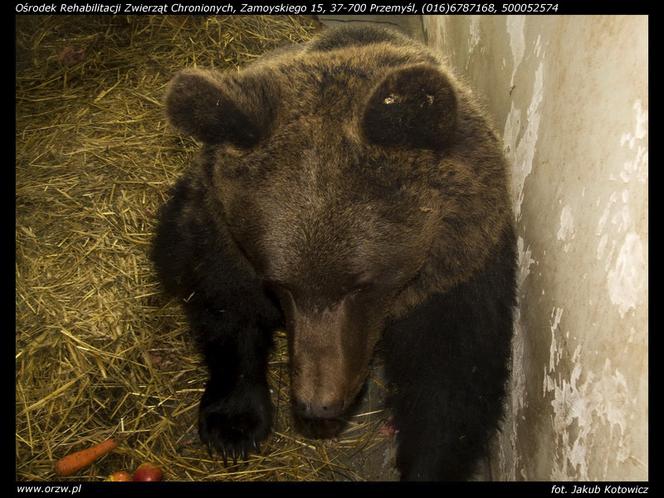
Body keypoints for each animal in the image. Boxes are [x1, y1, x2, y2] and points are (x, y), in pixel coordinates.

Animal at [153, 25, 516, 480]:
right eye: (279, 284)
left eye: (362, 284)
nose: (318, 403)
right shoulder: (221, 237)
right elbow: (226, 307)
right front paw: (233, 425)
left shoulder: (458, 273)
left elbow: (450, 378)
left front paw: (427, 463)